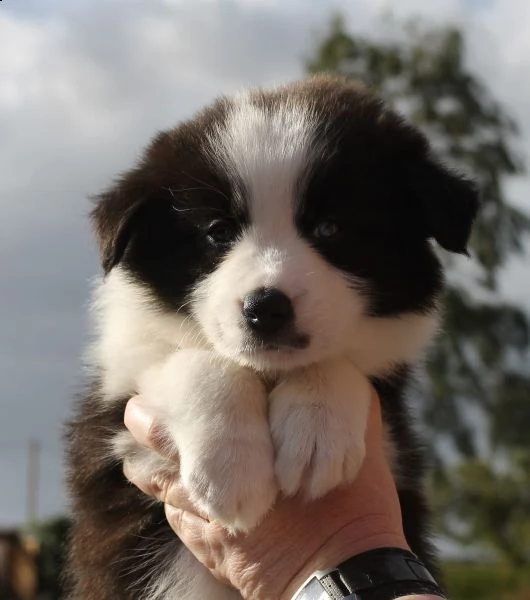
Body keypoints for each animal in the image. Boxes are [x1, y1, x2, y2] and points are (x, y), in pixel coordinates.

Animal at [66, 76, 478, 600]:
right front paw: (229, 468)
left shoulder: (393, 437)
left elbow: (333, 363)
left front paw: (316, 436)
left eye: (330, 227)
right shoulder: (116, 423)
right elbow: (192, 359)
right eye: (218, 233)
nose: (266, 308)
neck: (267, 373)